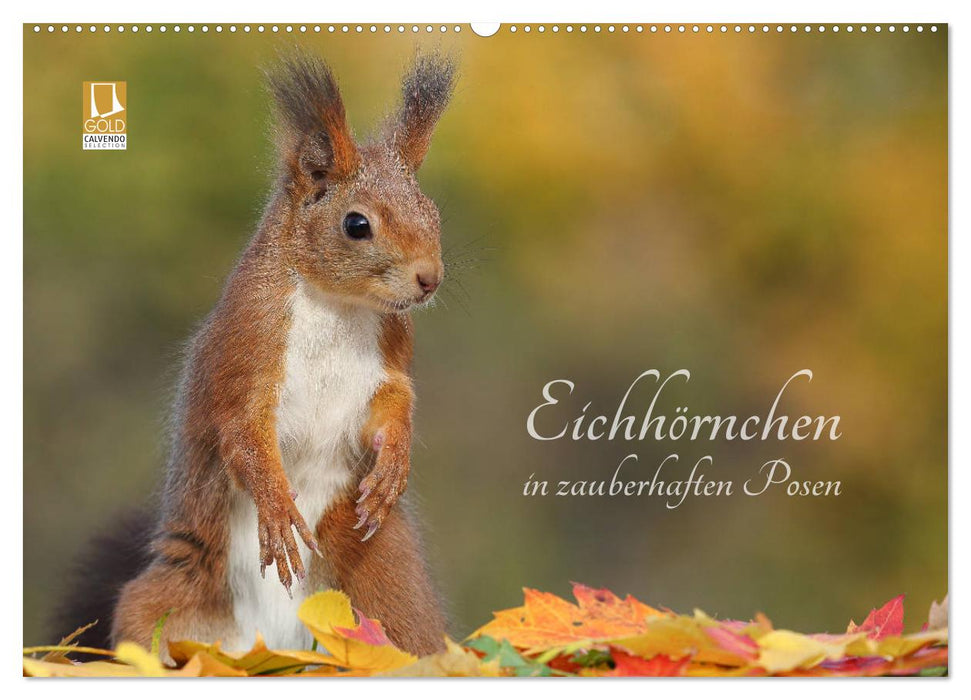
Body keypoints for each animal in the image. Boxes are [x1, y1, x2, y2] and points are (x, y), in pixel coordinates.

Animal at [55, 50, 456, 659]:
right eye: (356, 224)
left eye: (432, 213)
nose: (429, 279)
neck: (338, 307)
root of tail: (273, 646)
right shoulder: (246, 349)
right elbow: (243, 433)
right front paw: (276, 507)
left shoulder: (390, 359)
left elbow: (393, 404)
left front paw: (393, 463)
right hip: (171, 600)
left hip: (386, 586)